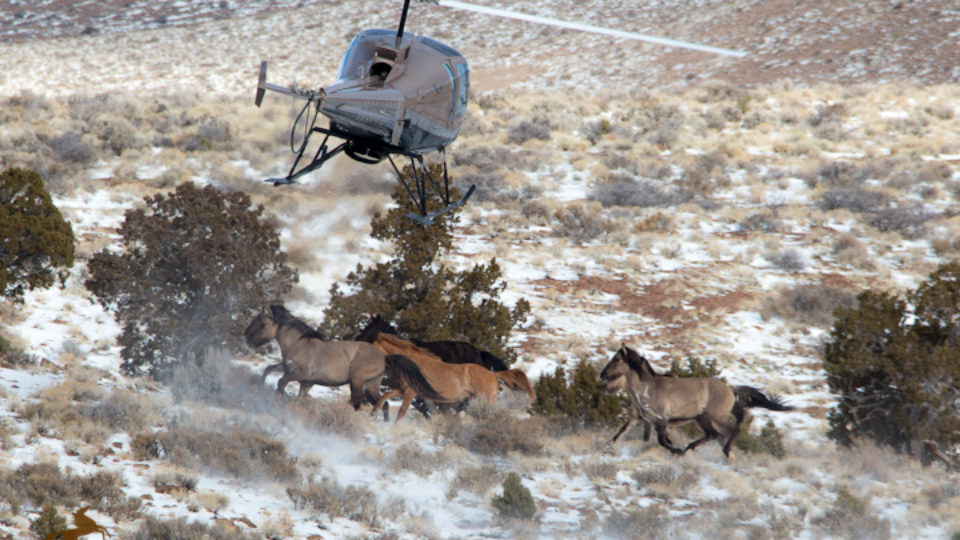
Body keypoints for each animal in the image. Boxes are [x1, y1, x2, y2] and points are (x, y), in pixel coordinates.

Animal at [244, 305, 388, 419]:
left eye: (262, 324)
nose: (246, 336)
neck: (298, 344)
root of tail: (382, 358)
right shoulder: (293, 373)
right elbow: (269, 370)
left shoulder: (302, 375)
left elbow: (281, 383)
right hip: (370, 384)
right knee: (382, 403)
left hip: (357, 381)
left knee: (358, 401)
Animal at [368, 333, 536, 422]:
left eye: (372, 346)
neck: (414, 362)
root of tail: (493, 375)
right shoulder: (404, 390)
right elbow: (385, 396)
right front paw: (373, 413)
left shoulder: (411, 392)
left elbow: (402, 411)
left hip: (487, 400)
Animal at [600, 344, 793, 458]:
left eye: (617, 359)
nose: (602, 375)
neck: (647, 390)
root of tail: (730, 389)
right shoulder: (645, 420)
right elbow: (622, 433)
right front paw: (609, 445)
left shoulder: (661, 420)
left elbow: (662, 441)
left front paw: (677, 451)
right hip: (703, 418)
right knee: (713, 434)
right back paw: (691, 448)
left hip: (717, 416)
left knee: (732, 430)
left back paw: (724, 450)